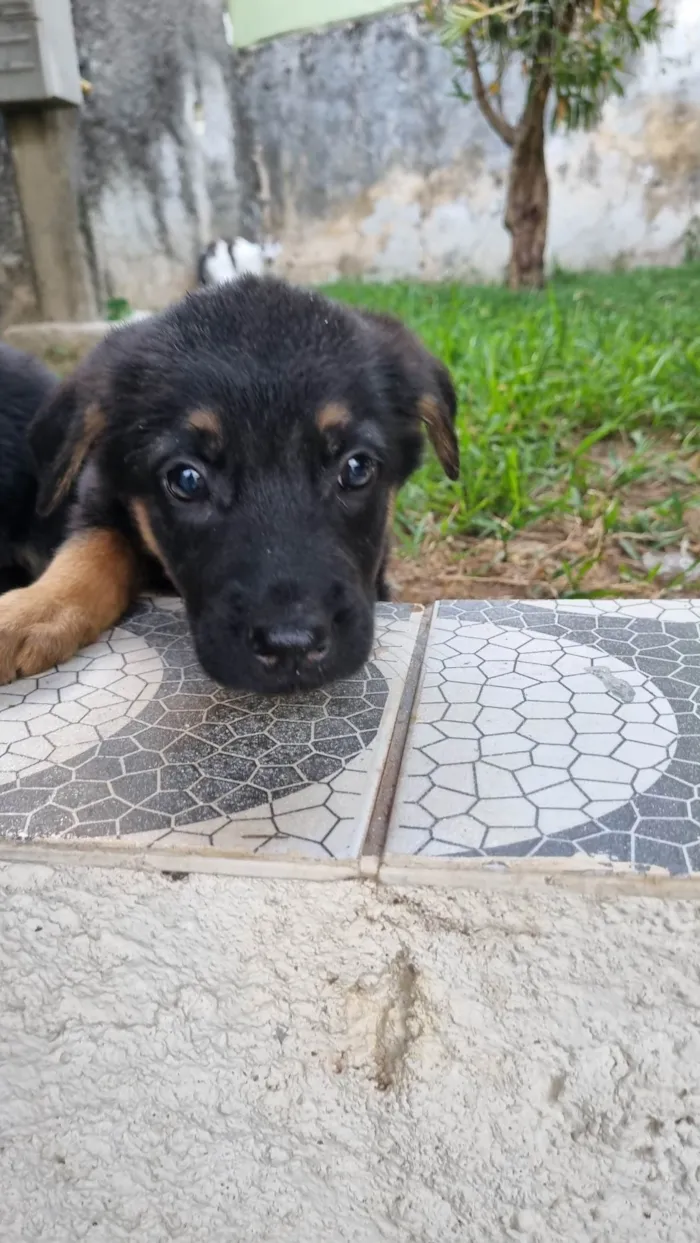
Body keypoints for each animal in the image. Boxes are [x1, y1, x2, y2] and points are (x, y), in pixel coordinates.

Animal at [0, 275, 460, 696]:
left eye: (357, 468)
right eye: (186, 480)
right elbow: (90, 549)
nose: (292, 648)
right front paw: (30, 611)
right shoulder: (101, 497)